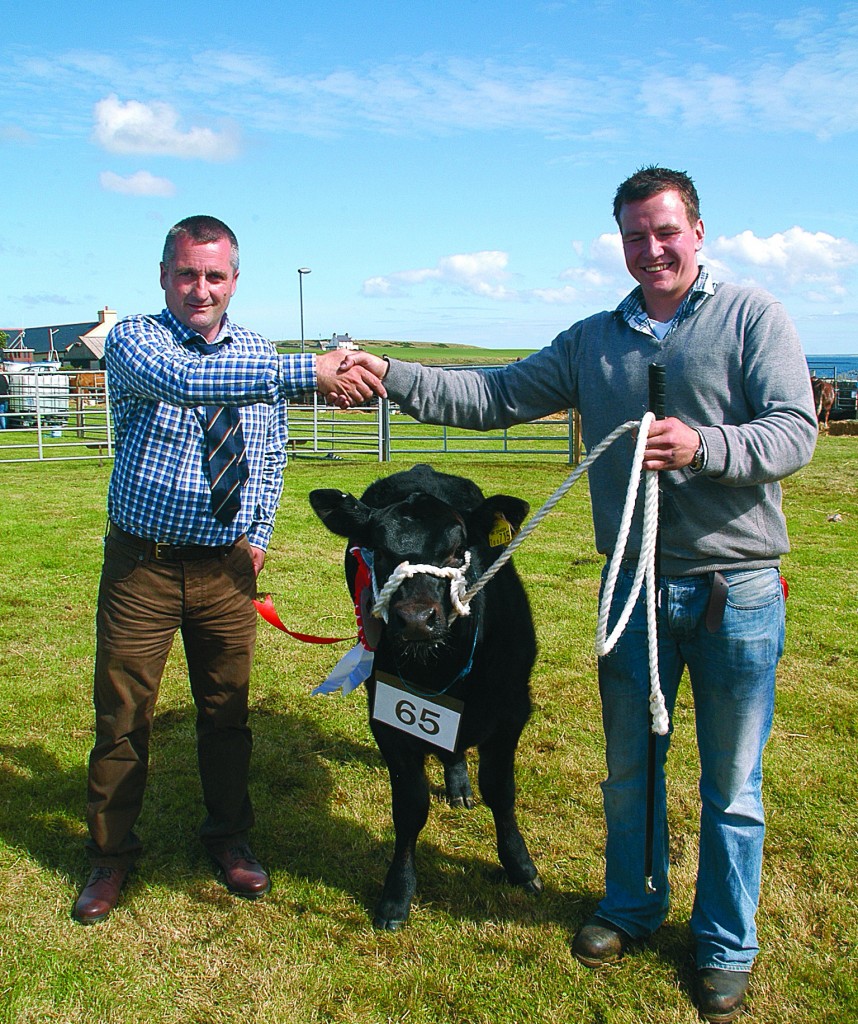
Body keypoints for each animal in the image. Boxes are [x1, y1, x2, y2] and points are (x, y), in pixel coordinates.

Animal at [313, 468, 544, 933]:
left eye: (457, 552)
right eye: (380, 552)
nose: (416, 620)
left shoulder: (512, 714)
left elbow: (501, 791)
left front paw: (520, 866)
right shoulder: (387, 718)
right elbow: (410, 805)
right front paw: (397, 894)